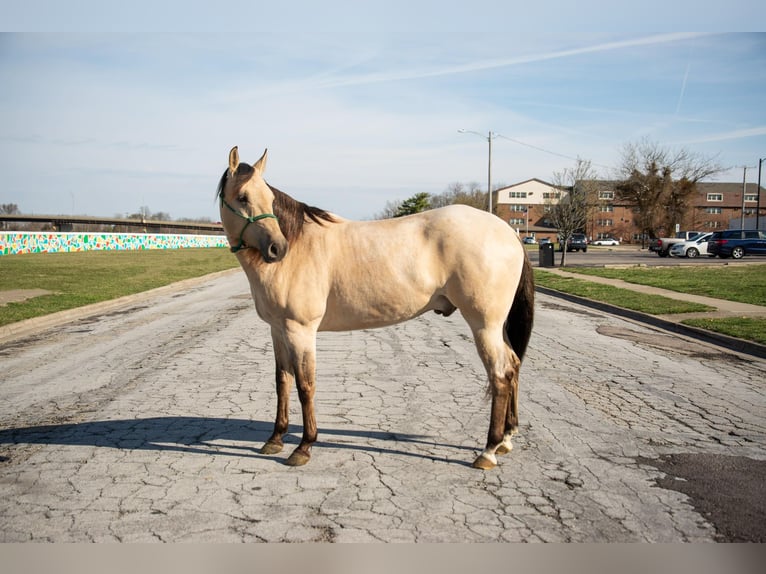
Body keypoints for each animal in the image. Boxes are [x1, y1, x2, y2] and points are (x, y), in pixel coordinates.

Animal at [216, 146, 536, 470]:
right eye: (243, 197)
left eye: (269, 199)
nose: (277, 249)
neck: (300, 246)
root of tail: (509, 233)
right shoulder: (278, 330)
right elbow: (283, 381)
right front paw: (275, 439)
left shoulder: (300, 330)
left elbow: (305, 386)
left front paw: (304, 447)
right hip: (496, 327)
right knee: (514, 366)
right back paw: (506, 439)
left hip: (485, 325)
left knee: (500, 375)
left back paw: (488, 450)